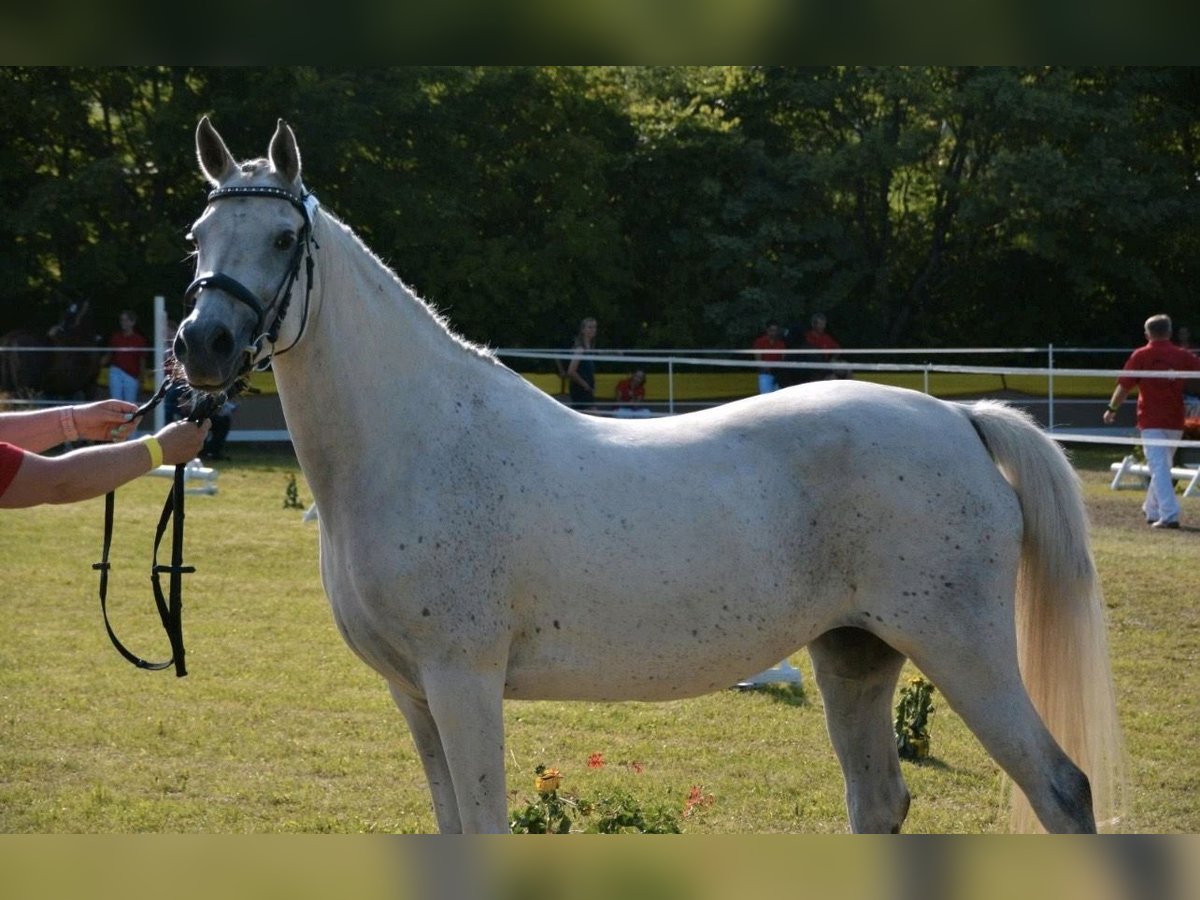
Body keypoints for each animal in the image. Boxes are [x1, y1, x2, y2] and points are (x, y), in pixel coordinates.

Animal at [173, 117, 1125, 833]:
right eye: (198, 238)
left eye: (285, 237)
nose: (203, 345)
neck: (421, 444)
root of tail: (960, 420)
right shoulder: (414, 693)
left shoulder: (462, 680)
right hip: (856, 654)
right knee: (881, 802)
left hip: (962, 648)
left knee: (1063, 788)